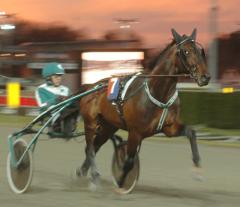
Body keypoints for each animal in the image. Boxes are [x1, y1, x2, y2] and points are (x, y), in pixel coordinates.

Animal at [76, 28, 210, 193]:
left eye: (199, 51)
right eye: (186, 51)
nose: (205, 77)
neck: (158, 92)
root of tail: (91, 87)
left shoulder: (169, 128)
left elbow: (191, 132)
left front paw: (197, 168)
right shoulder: (135, 132)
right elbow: (129, 161)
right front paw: (121, 183)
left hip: (108, 126)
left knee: (95, 146)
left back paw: (82, 173)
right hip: (91, 123)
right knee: (90, 148)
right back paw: (94, 176)